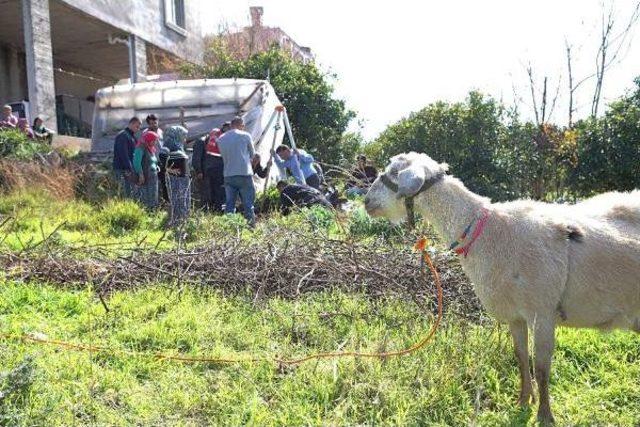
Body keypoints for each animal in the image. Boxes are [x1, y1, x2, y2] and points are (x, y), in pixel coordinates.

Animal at [364, 151, 640, 424]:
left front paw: (544, 416)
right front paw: (523, 400)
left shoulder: (542, 312)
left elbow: (542, 367)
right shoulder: (515, 315)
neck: (488, 231)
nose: (366, 202)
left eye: (393, 173)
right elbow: (521, 357)